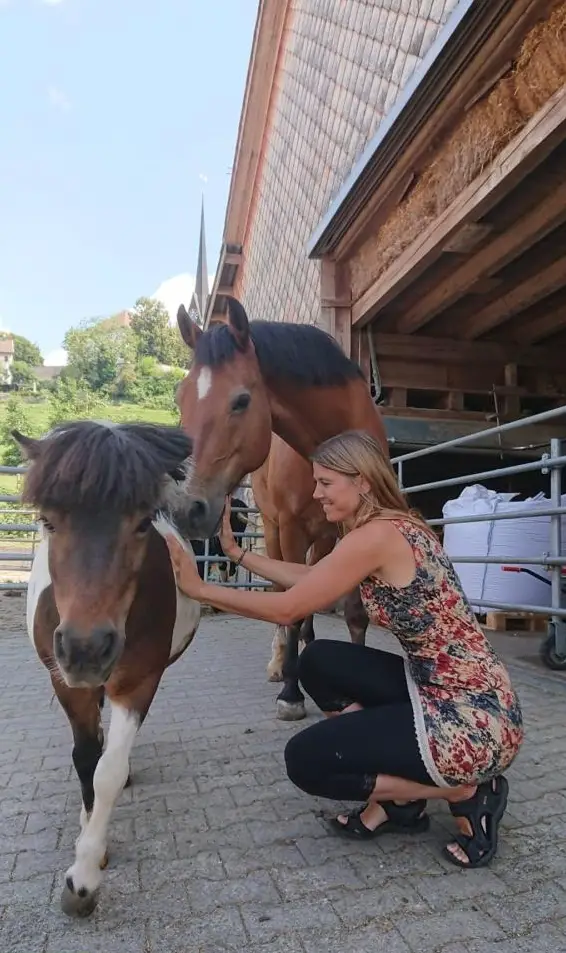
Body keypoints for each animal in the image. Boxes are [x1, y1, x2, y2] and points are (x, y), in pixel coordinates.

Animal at [13, 420, 200, 918]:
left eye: (142, 522)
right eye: (47, 521)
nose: (87, 648)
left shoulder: (139, 682)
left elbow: (108, 771)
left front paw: (84, 876)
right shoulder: (66, 683)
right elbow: (85, 758)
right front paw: (88, 837)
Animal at [174, 295, 388, 720]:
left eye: (241, 400)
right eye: (180, 397)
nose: (189, 508)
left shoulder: (358, 528)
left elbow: (353, 612)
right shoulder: (290, 528)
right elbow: (290, 603)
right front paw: (291, 692)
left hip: (323, 538)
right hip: (274, 531)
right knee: (281, 590)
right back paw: (279, 664)